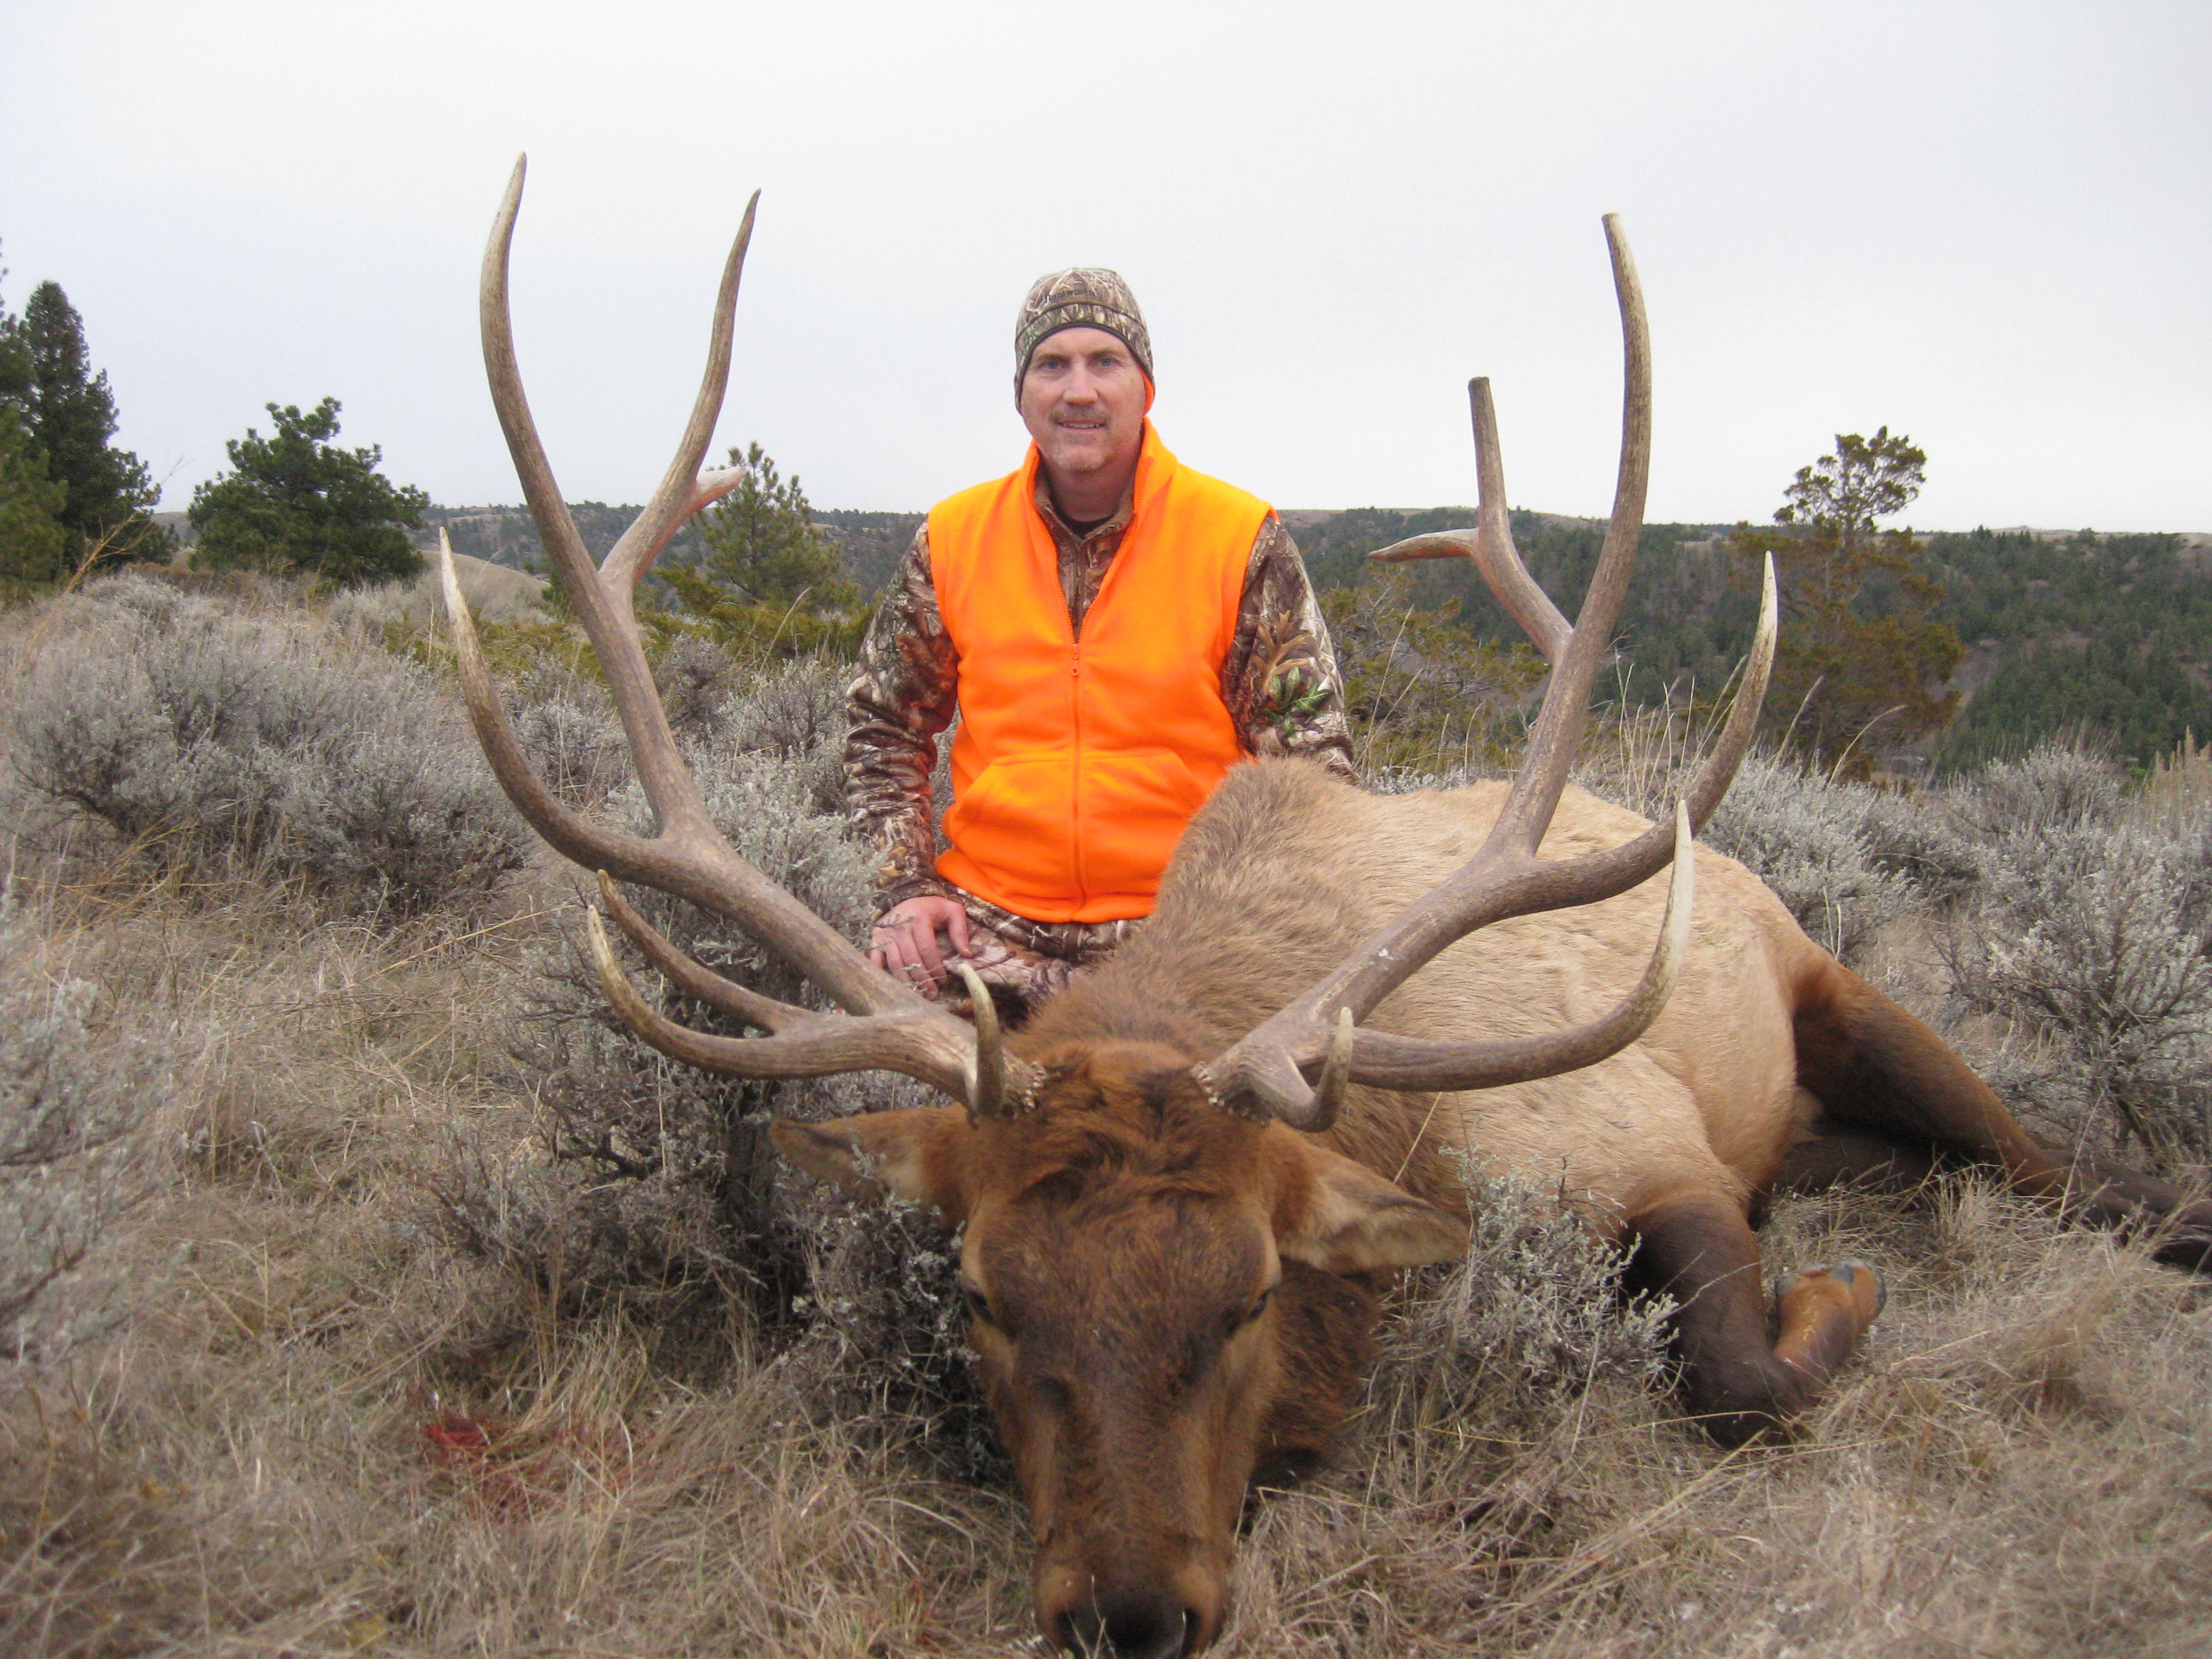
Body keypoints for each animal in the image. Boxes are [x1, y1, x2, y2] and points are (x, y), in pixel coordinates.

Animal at [441, 158, 2212, 1659]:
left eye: (1251, 1295)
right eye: (987, 1295)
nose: (1131, 1613)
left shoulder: (1648, 1142)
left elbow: (1738, 1371)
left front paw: (1838, 1290)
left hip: (1831, 992)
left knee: (2044, 1154)